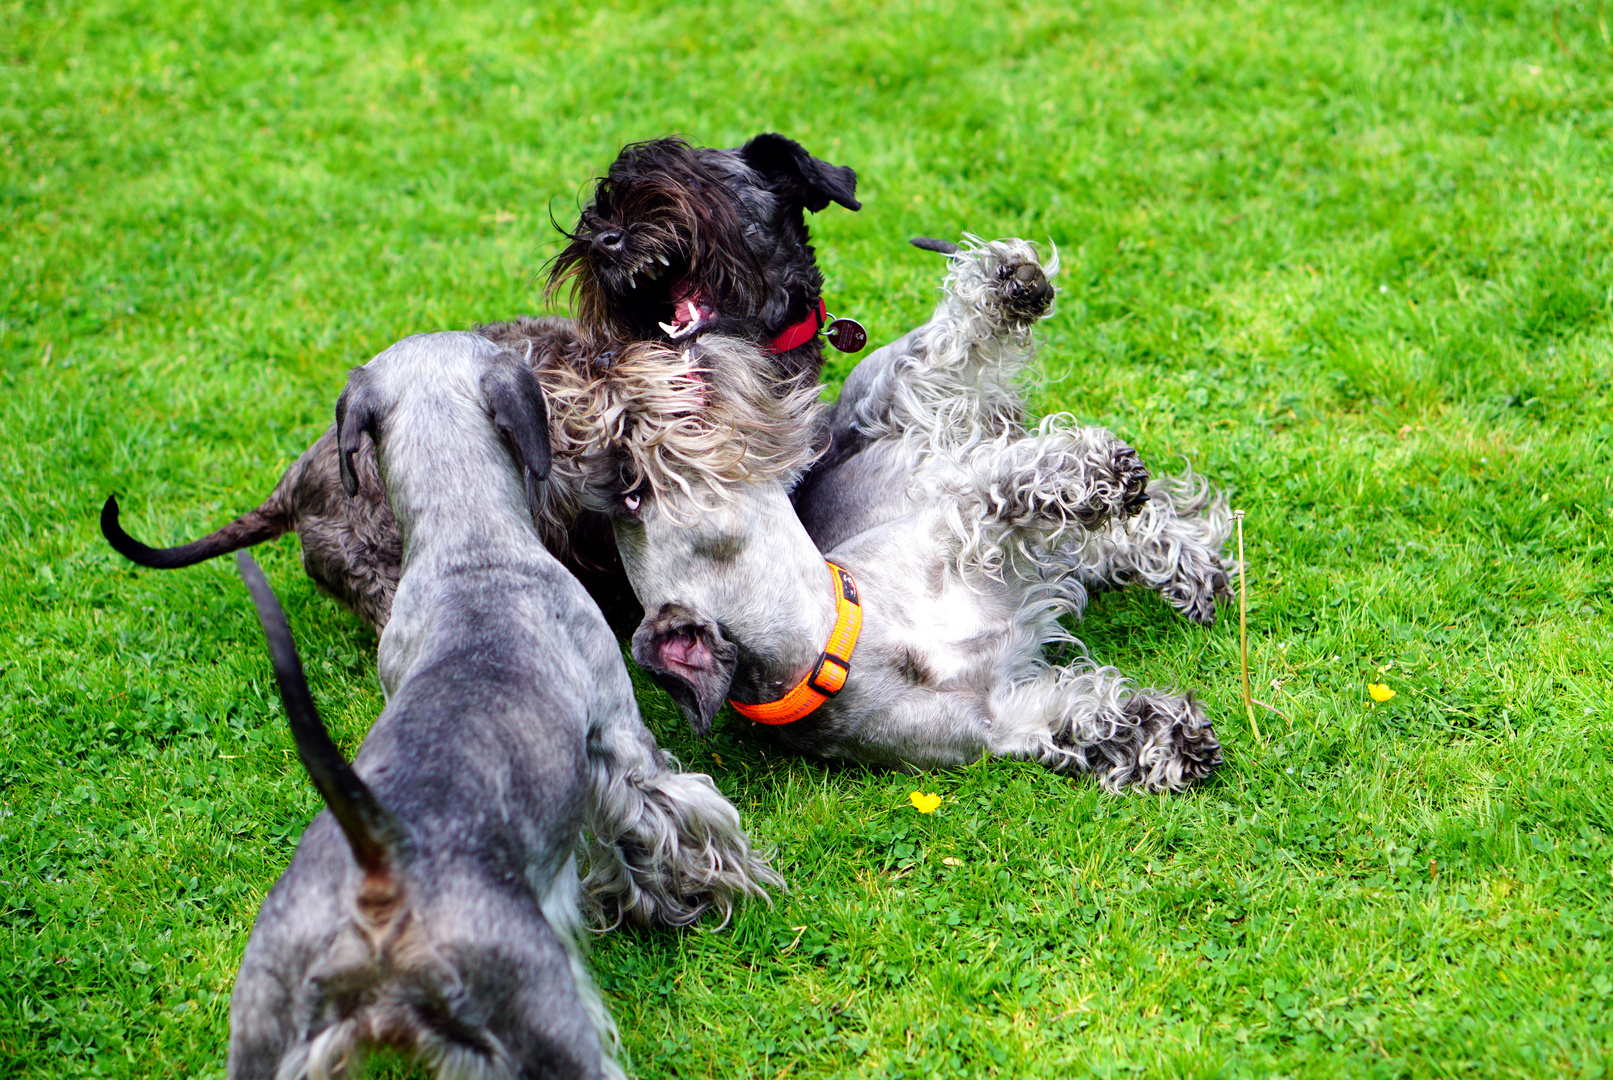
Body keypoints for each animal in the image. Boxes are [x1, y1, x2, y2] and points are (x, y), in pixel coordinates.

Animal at [230, 336, 777, 1080]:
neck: (470, 546)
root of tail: (380, 877)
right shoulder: (617, 736)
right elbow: (659, 820)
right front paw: (689, 899)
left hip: (266, 1023)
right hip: (540, 1009)